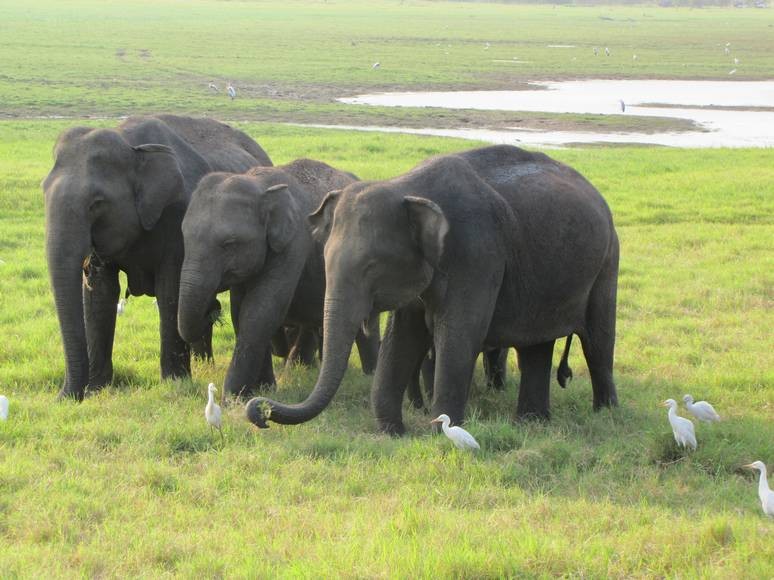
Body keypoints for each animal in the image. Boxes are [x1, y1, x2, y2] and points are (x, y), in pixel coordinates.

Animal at [43, 115, 272, 402]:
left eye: (96, 203)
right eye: (43, 192)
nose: (63, 397)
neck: (131, 146)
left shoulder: (178, 218)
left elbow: (170, 290)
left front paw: (175, 383)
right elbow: (101, 293)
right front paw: (97, 389)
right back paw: (204, 363)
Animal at [177, 157, 382, 398]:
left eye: (229, 244)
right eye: (184, 236)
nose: (214, 308)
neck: (260, 184)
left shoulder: (295, 242)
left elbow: (261, 310)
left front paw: (233, 397)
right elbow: (240, 311)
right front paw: (263, 389)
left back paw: (370, 374)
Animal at [252, 145, 620, 436]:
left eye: (371, 266)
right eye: (324, 259)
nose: (262, 411)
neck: (406, 186)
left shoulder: (478, 253)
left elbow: (459, 333)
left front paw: (440, 432)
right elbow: (403, 336)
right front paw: (392, 432)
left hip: (607, 261)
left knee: (598, 340)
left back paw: (605, 415)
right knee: (536, 346)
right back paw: (532, 424)